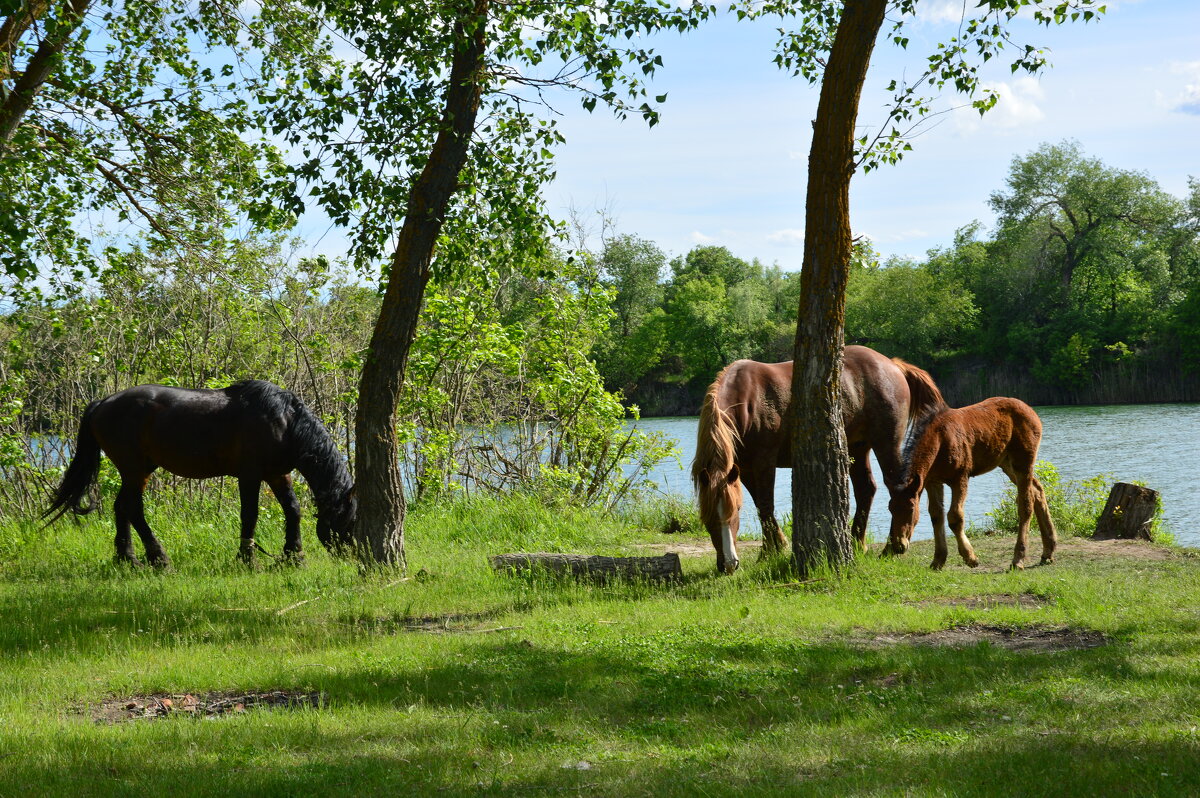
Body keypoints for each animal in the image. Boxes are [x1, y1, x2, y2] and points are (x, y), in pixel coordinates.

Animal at [46, 379, 355, 566]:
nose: (354, 554)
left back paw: (128, 558)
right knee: (132, 508)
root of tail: (103, 402)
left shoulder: (278, 474)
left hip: (136, 470)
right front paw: (247, 558)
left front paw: (294, 555)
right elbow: (250, 514)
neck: (284, 421)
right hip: (135, 469)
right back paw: (159, 559)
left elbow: (293, 509)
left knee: (121, 507)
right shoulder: (250, 475)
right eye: (350, 520)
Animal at [696, 343, 945, 573]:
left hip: (886, 441)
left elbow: (766, 505)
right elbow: (759, 505)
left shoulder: (764, 462)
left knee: (898, 489)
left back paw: (892, 547)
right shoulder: (744, 468)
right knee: (866, 489)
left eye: (734, 513)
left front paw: (770, 551)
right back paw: (857, 543)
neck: (747, 400)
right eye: (707, 518)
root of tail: (892, 365)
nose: (729, 564)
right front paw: (773, 548)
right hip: (857, 447)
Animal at [888, 396, 1056, 568]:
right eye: (890, 509)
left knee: (1026, 503)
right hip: (1006, 463)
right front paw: (938, 560)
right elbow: (936, 516)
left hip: (1023, 461)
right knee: (1037, 490)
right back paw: (1048, 552)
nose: (899, 545)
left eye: (910, 509)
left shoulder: (960, 477)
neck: (939, 442)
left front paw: (970, 557)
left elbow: (955, 517)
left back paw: (1018, 560)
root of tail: (1031, 411)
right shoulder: (932, 482)